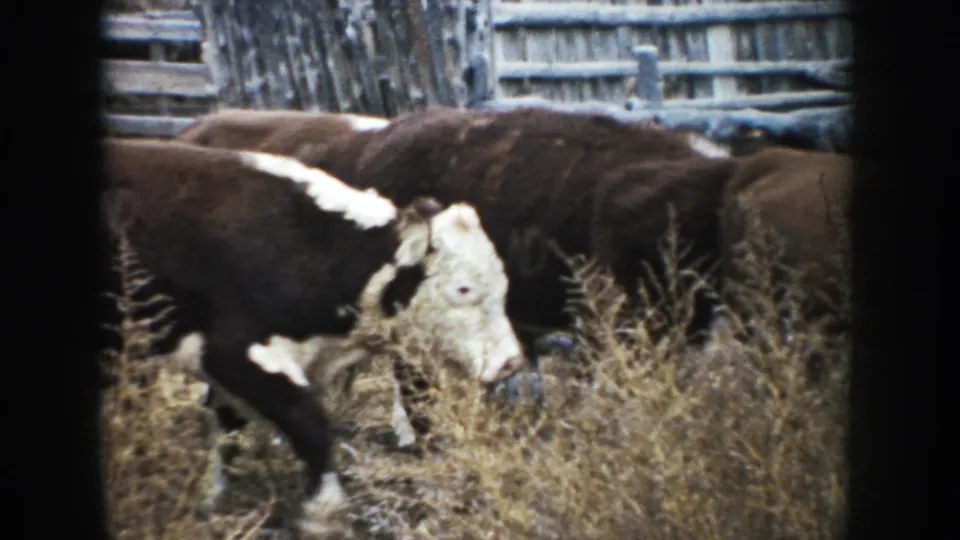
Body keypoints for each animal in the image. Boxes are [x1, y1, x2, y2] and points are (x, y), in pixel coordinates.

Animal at [100, 138, 527, 533]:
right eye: (463, 289)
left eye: (503, 284)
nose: (511, 361)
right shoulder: (236, 355)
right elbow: (308, 422)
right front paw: (325, 512)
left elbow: (228, 433)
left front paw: (213, 497)